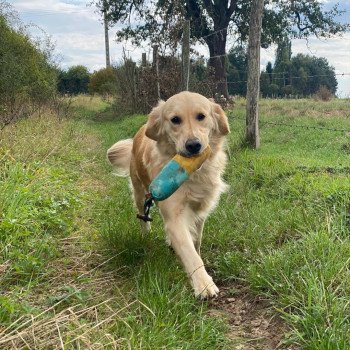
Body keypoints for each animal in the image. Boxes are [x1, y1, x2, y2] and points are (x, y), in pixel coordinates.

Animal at [106, 91, 230, 298]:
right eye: (175, 120)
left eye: (201, 116)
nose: (193, 145)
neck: (193, 174)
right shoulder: (174, 212)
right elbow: (189, 251)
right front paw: (203, 284)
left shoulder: (200, 207)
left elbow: (196, 240)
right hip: (140, 192)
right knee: (142, 216)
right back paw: (146, 234)